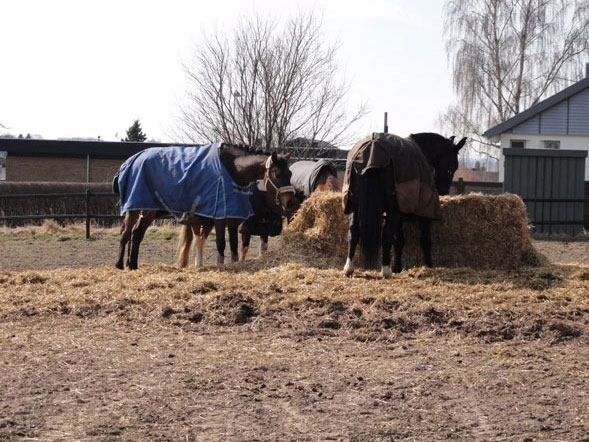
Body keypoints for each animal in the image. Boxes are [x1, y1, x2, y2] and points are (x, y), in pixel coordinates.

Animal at [113, 144, 294, 270]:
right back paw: (120, 264)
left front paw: (234, 264)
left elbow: (234, 246)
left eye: (290, 173)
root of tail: (133, 159)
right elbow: (221, 243)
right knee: (127, 233)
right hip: (137, 208)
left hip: (147, 210)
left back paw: (132, 264)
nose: (290, 202)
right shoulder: (220, 218)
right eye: (277, 173)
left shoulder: (233, 219)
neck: (231, 169)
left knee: (136, 233)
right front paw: (221, 265)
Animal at [342, 132, 466, 276]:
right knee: (386, 235)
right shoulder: (422, 213)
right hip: (392, 210)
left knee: (353, 232)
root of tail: (373, 150)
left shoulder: (400, 215)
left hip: (354, 206)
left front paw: (398, 267)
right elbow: (425, 240)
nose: (443, 191)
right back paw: (386, 270)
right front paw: (428, 265)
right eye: (453, 166)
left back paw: (349, 268)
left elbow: (399, 241)